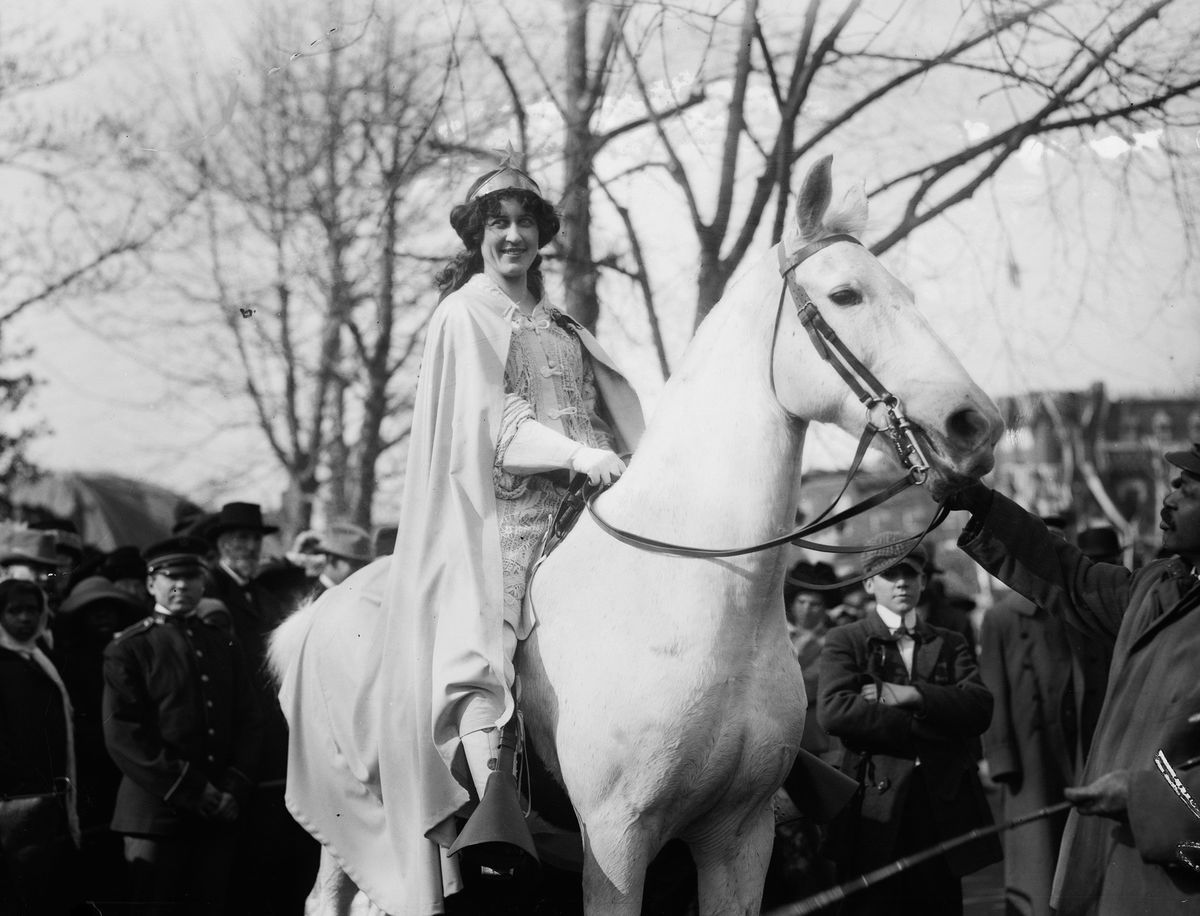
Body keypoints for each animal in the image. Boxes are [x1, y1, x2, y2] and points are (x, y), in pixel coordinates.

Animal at [272, 153, 1003, 912]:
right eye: (846, 294)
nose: (975, 424)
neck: (699, 599)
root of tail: (318, 612)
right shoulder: (617, 840)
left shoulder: (740, 839)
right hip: (362, 828)